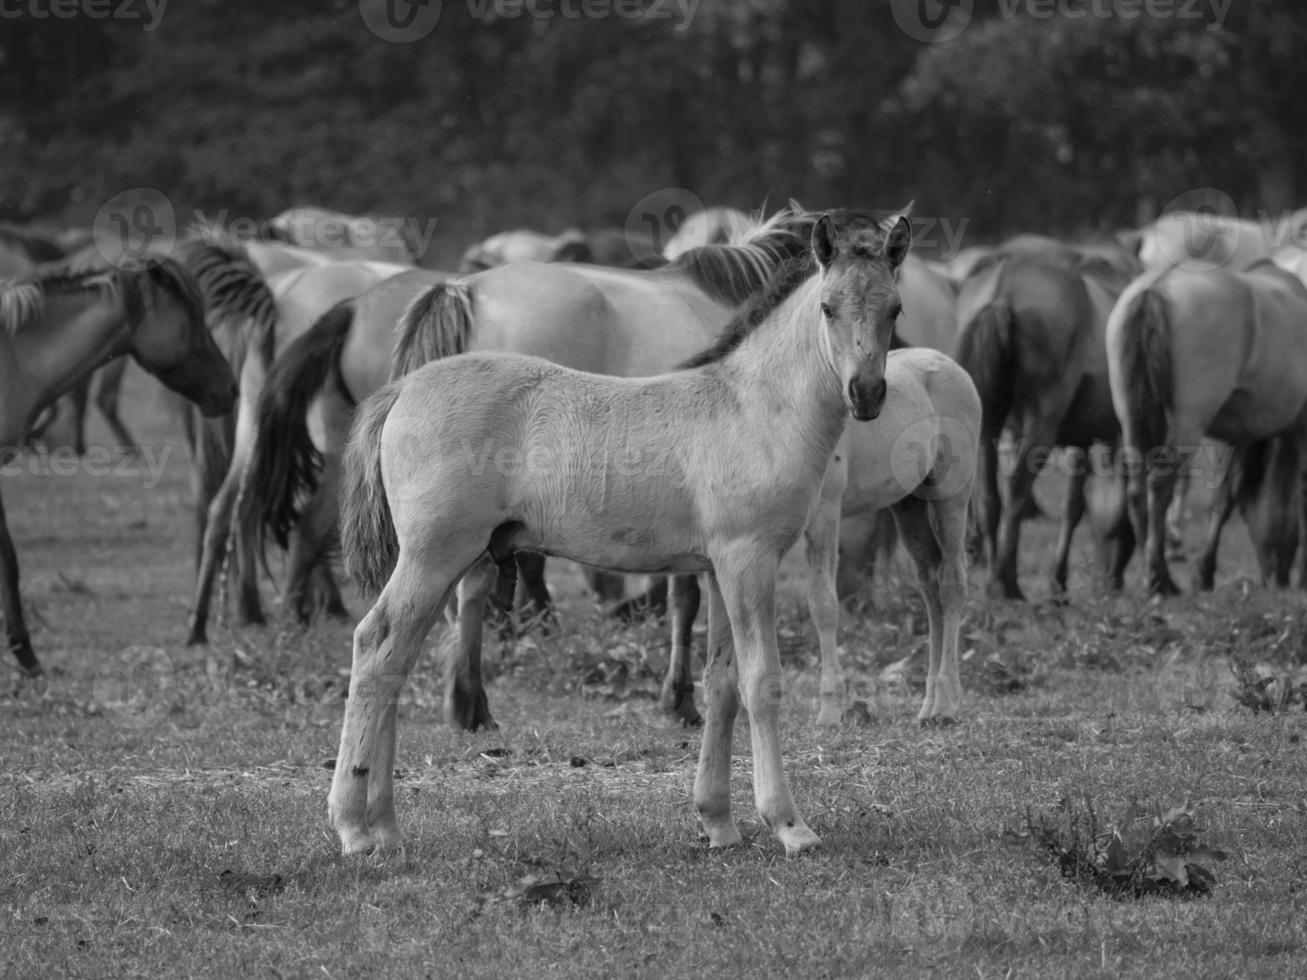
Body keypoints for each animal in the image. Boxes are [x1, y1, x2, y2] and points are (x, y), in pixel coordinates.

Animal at [2, 258, 236, 674]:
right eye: (193, 318)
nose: (230, 388)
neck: (13, 360)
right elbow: (9, 561)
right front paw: (26, 654)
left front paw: (23, 652)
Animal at [331, 212, 967, 857]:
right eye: (828, 307)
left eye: (895, 308)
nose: (867, 394)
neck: (754, 409)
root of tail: (403, 389)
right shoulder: (749, 559)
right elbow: (762, 681)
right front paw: (790, 825)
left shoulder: (719, 569)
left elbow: (722, 684)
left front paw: (719, 823)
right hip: (433, 556)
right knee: (375, 647)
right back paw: (354, 826)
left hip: (442, 561)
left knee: (397, 658)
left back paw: (385, 825)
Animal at [951, 253, 1144, 598]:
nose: (1111, 581)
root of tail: (1003, 290)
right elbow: (1084, 506)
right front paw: (1058, 582)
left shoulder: (1082, 440)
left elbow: (1074, 506)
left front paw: (1059, 582)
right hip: (1041, 422)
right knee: (1016, 490)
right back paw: (1006, 582)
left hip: (987, 426)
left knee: (988, 498)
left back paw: (992, 578)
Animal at [1108, 261, 1307, 595]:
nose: (1275, 578)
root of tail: (1157, 287)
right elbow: (1296, 495)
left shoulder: (1238, 436)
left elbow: (1224, 499)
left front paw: (1205, 572)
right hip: (1186, 425)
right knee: (1160, 485)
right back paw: (1158, 576)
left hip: (1131, 419)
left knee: (1136, 489)